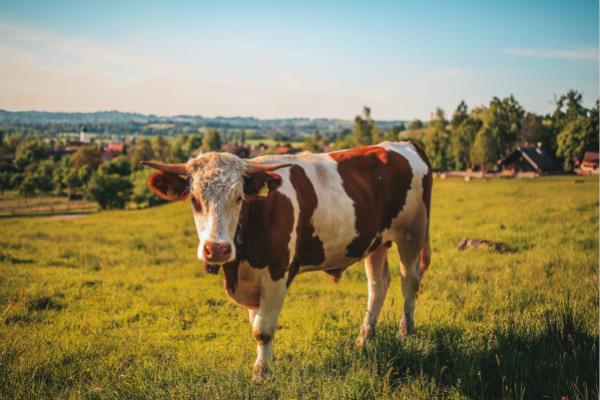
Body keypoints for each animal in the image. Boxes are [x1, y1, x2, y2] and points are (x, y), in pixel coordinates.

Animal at [141, 142, 432, 382]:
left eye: (238, 198)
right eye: (194, 199)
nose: (217, 249)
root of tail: (403, 144)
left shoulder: (277, 273)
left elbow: (263, 329)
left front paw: (261, 374)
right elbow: (256, 323)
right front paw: (265, 363)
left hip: (412, 233)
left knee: (409, 280)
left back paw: (405, 333)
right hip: (375, 241)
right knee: (378, 284)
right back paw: (364, 338)